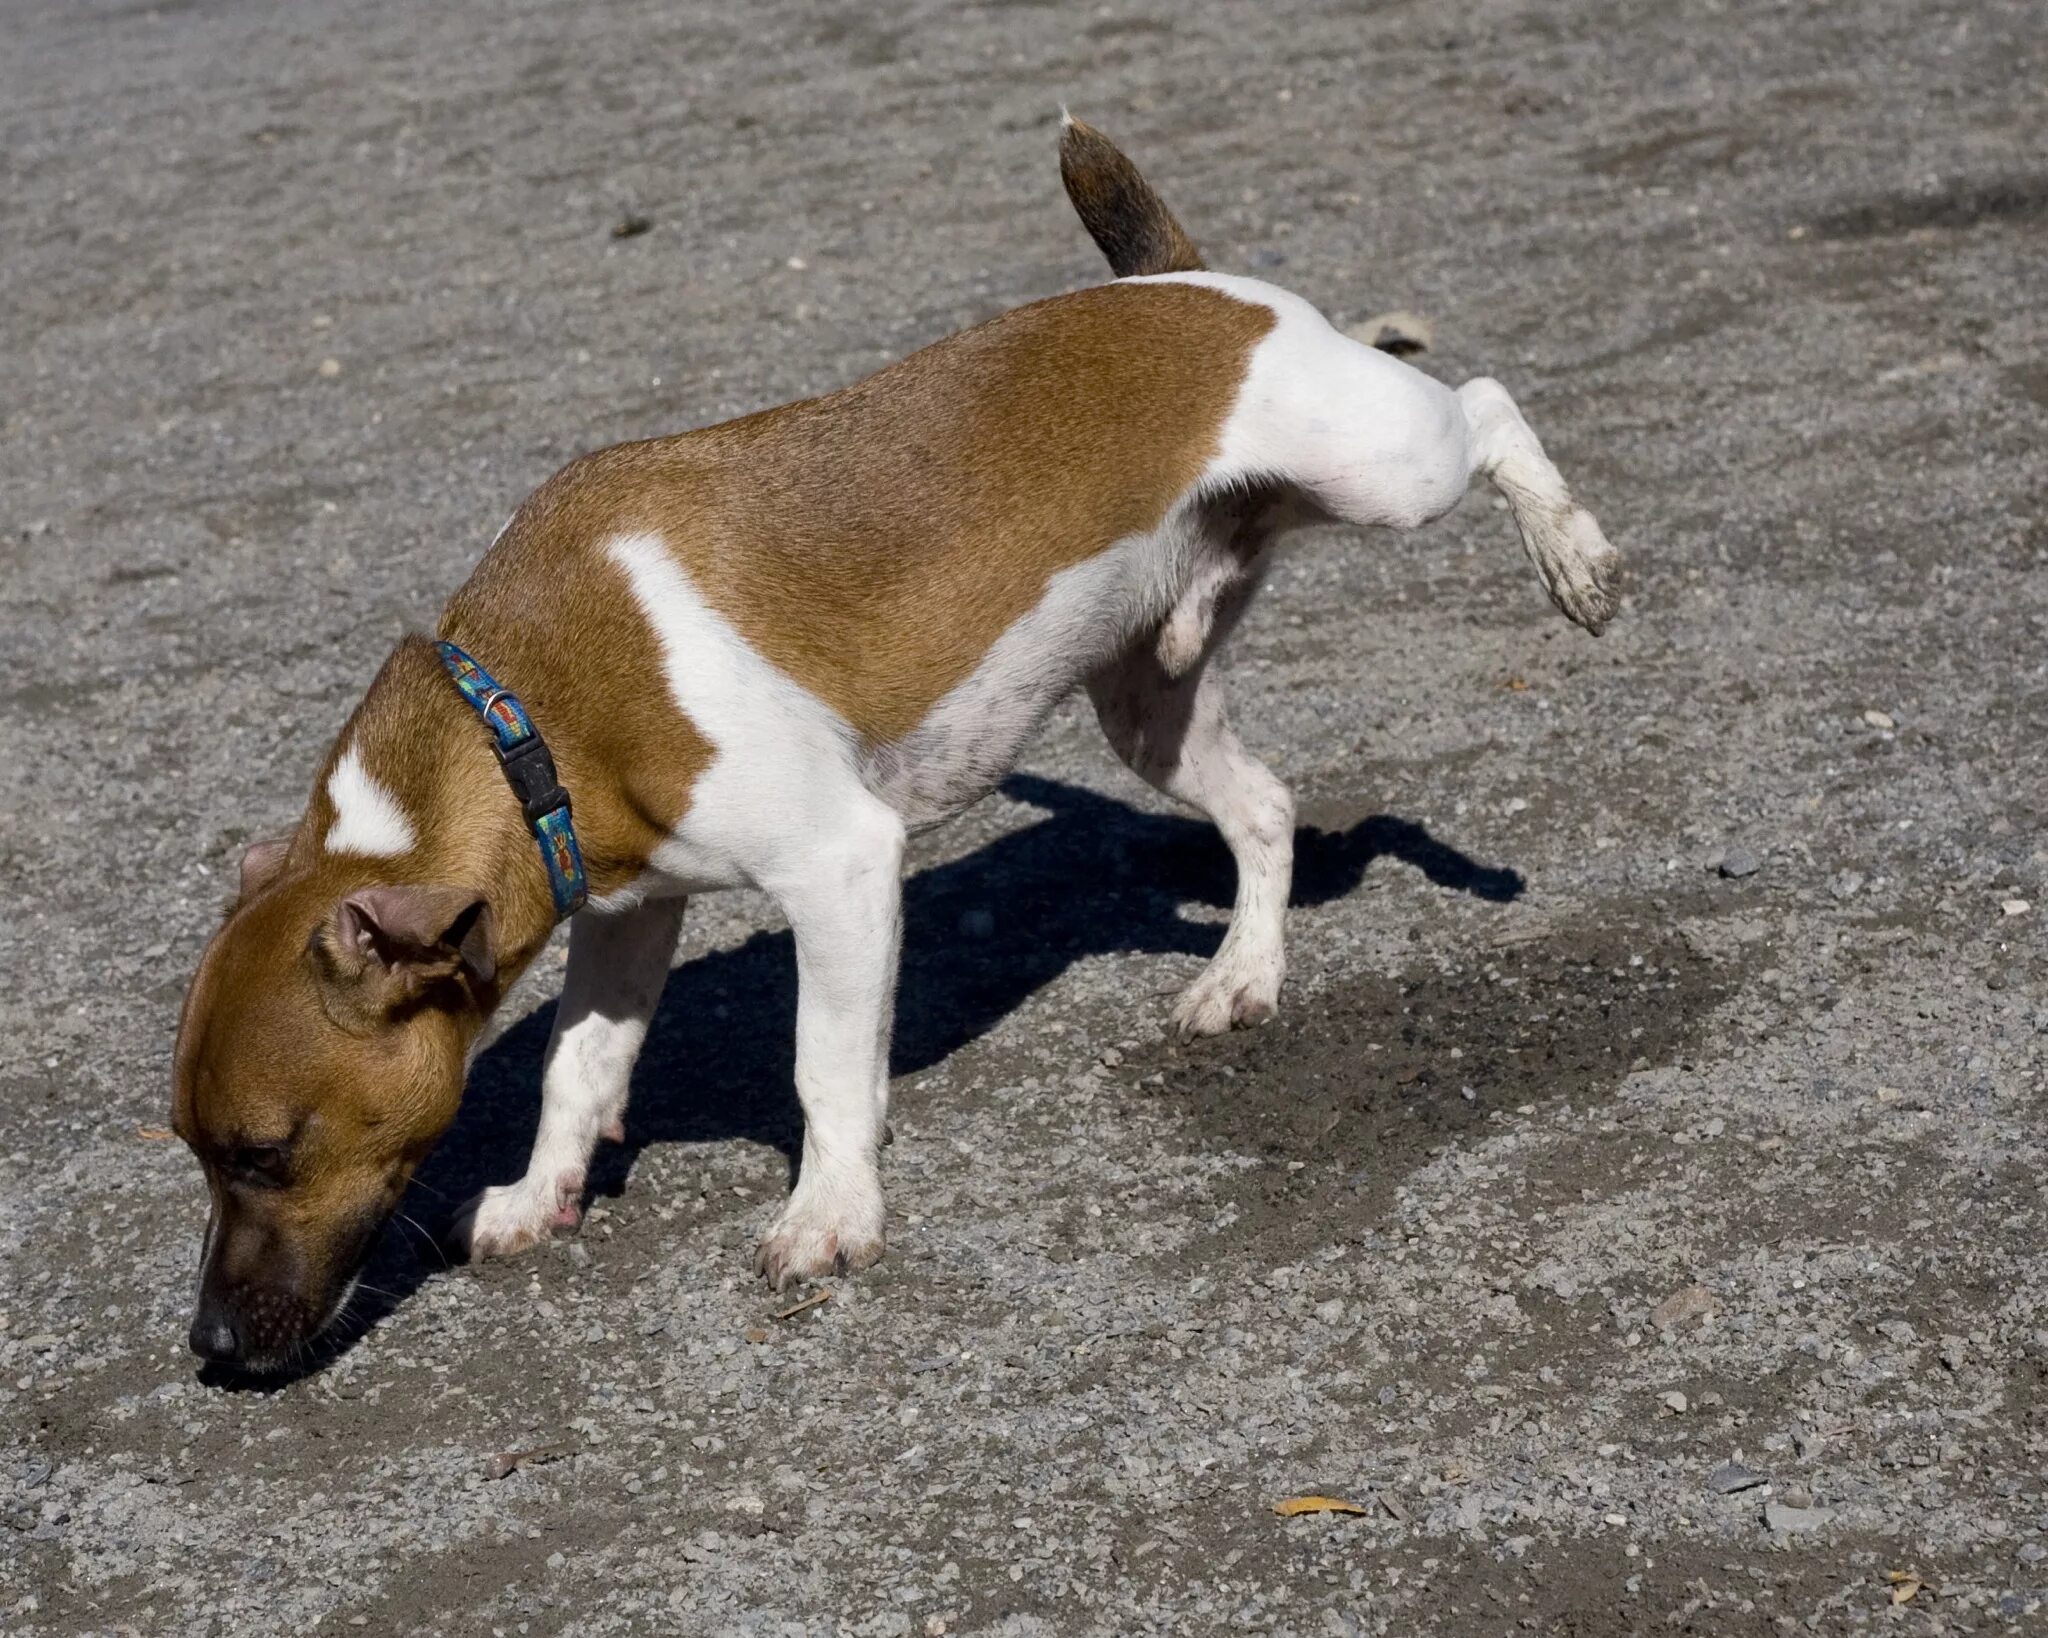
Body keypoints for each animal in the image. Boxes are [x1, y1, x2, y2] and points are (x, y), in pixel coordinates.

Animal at [172, 118, 1613, 1367]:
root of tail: (1181, 278)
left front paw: (829, 1215)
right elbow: (579, 1072)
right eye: (195, 1150)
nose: (213, 1348)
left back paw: (1573, 560)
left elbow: (823, 1070)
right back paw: (1241, 977)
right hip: (1148, 706)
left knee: (1485, 404)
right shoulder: (626, 916)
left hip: (1385, 474)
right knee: (1262, 808)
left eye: (264, 1152)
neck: (519, 708)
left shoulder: (842, 868)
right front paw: (539, 1194)